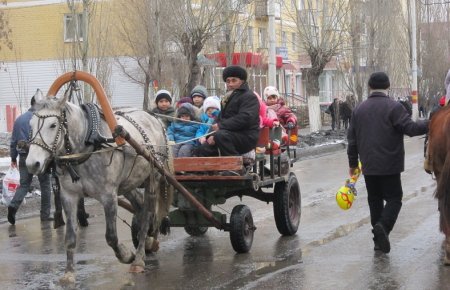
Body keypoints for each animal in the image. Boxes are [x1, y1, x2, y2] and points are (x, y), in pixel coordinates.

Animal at [26, 90, 173, 280]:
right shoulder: (68, 196)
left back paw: (139, 257)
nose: (32, 164)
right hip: (129, 183)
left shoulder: (109, 196)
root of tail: (156, 120)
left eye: (53, 125)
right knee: (140, 207)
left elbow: (111, 237)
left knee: (147, 215)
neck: (86, 146)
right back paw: (148, 241)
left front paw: (127, 255)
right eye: (30, 124)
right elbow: (70, 237)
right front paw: (69, 274)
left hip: (152, 178)